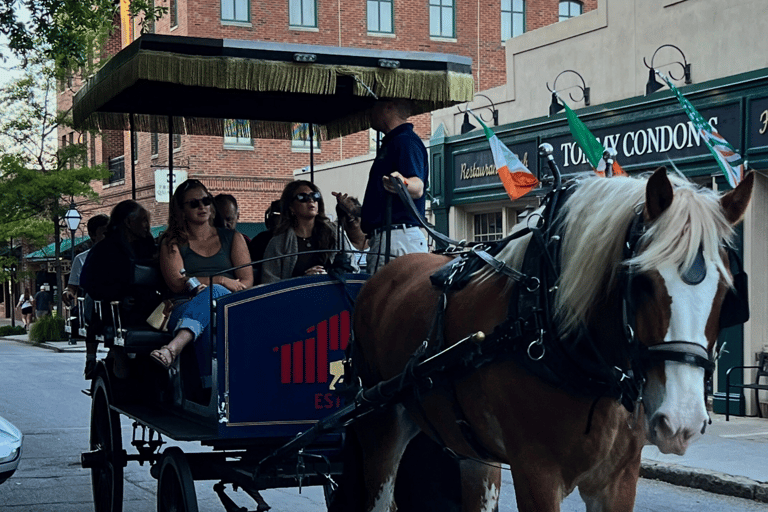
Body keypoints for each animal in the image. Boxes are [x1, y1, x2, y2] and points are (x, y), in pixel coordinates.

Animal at [350, 169, 756, 512]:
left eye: (727, 293)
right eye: (641, 282)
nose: (682, 420)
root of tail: (386, 270)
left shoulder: (619, 479)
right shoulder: (536, 472)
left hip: (473, 449)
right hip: (380, 420)